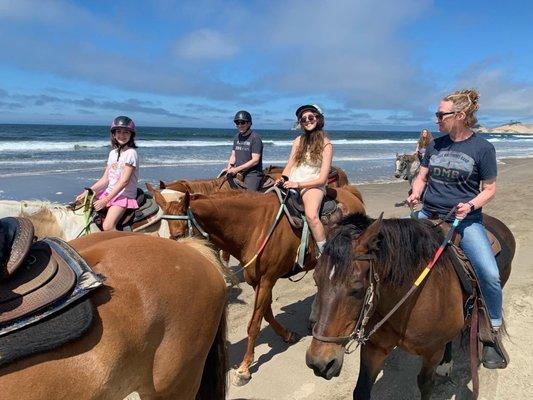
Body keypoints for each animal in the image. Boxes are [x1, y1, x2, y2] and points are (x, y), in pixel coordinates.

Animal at [143, 184, 364, 384]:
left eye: (179, 235)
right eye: (163, 237)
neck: (255, 227)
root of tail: (350, 192)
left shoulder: (267, 280)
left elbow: (254, 324)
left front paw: (244, 369)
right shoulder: (258, 282)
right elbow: (266, 313)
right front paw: (287, 334)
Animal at [306, 212, 512, 400]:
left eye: (356, 288)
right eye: (316, 280)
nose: (319, 363)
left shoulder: (432, 352)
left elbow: (425, 384)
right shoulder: (374, 348)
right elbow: (361, 390)